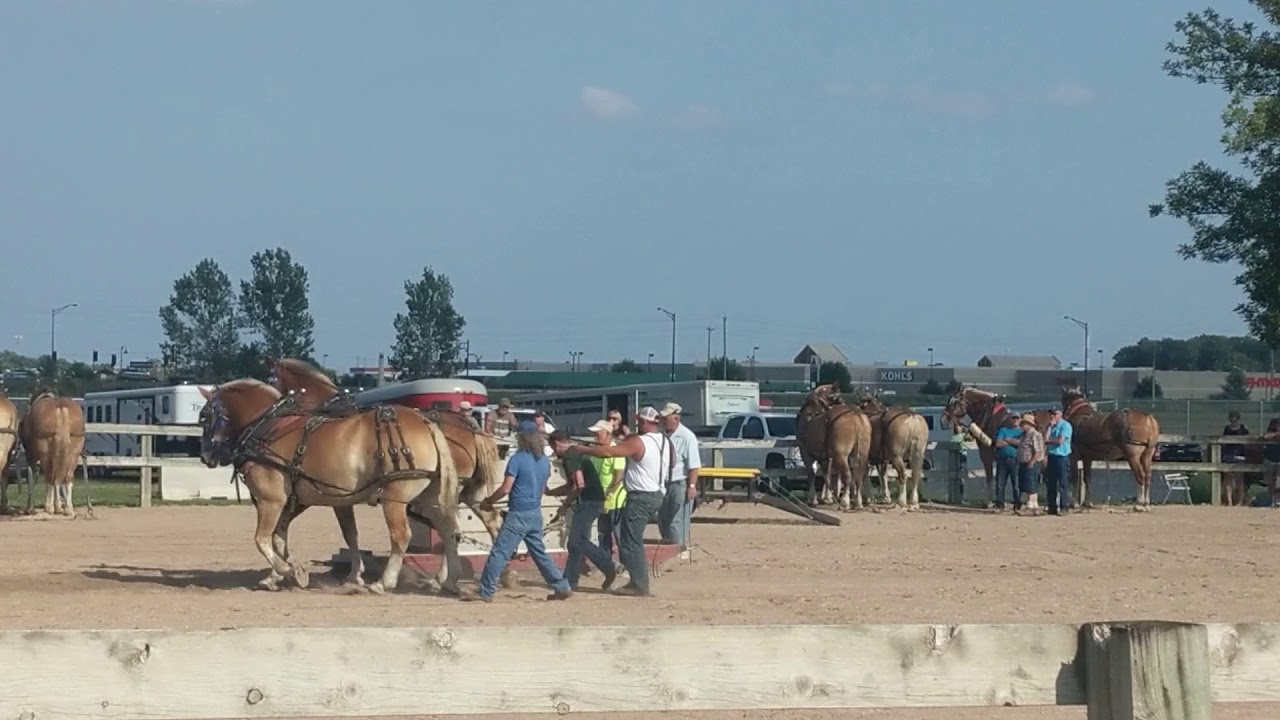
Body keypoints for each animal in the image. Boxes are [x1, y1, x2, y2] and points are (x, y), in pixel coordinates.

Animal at [196, 378, 463, 595]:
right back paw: (449, 581)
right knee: (449, 530)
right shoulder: (305, 501)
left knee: (401, 535)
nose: (205, 455)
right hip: (429, 497)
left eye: (205, 416)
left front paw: (289, 570)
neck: (269, 427)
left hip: (395, 496)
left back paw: (383, 583)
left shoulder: (271, 500)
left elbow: (262, 539)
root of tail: (426, 422)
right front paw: (279, 576)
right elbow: (284, 538)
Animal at [270, 358, 515, 586]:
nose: (275, 416)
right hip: (468, 492)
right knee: (482, 522)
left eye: (275, 380)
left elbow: (348, 533)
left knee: (455, 529)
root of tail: (470, 427)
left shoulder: (331, 495)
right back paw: (495, 574)